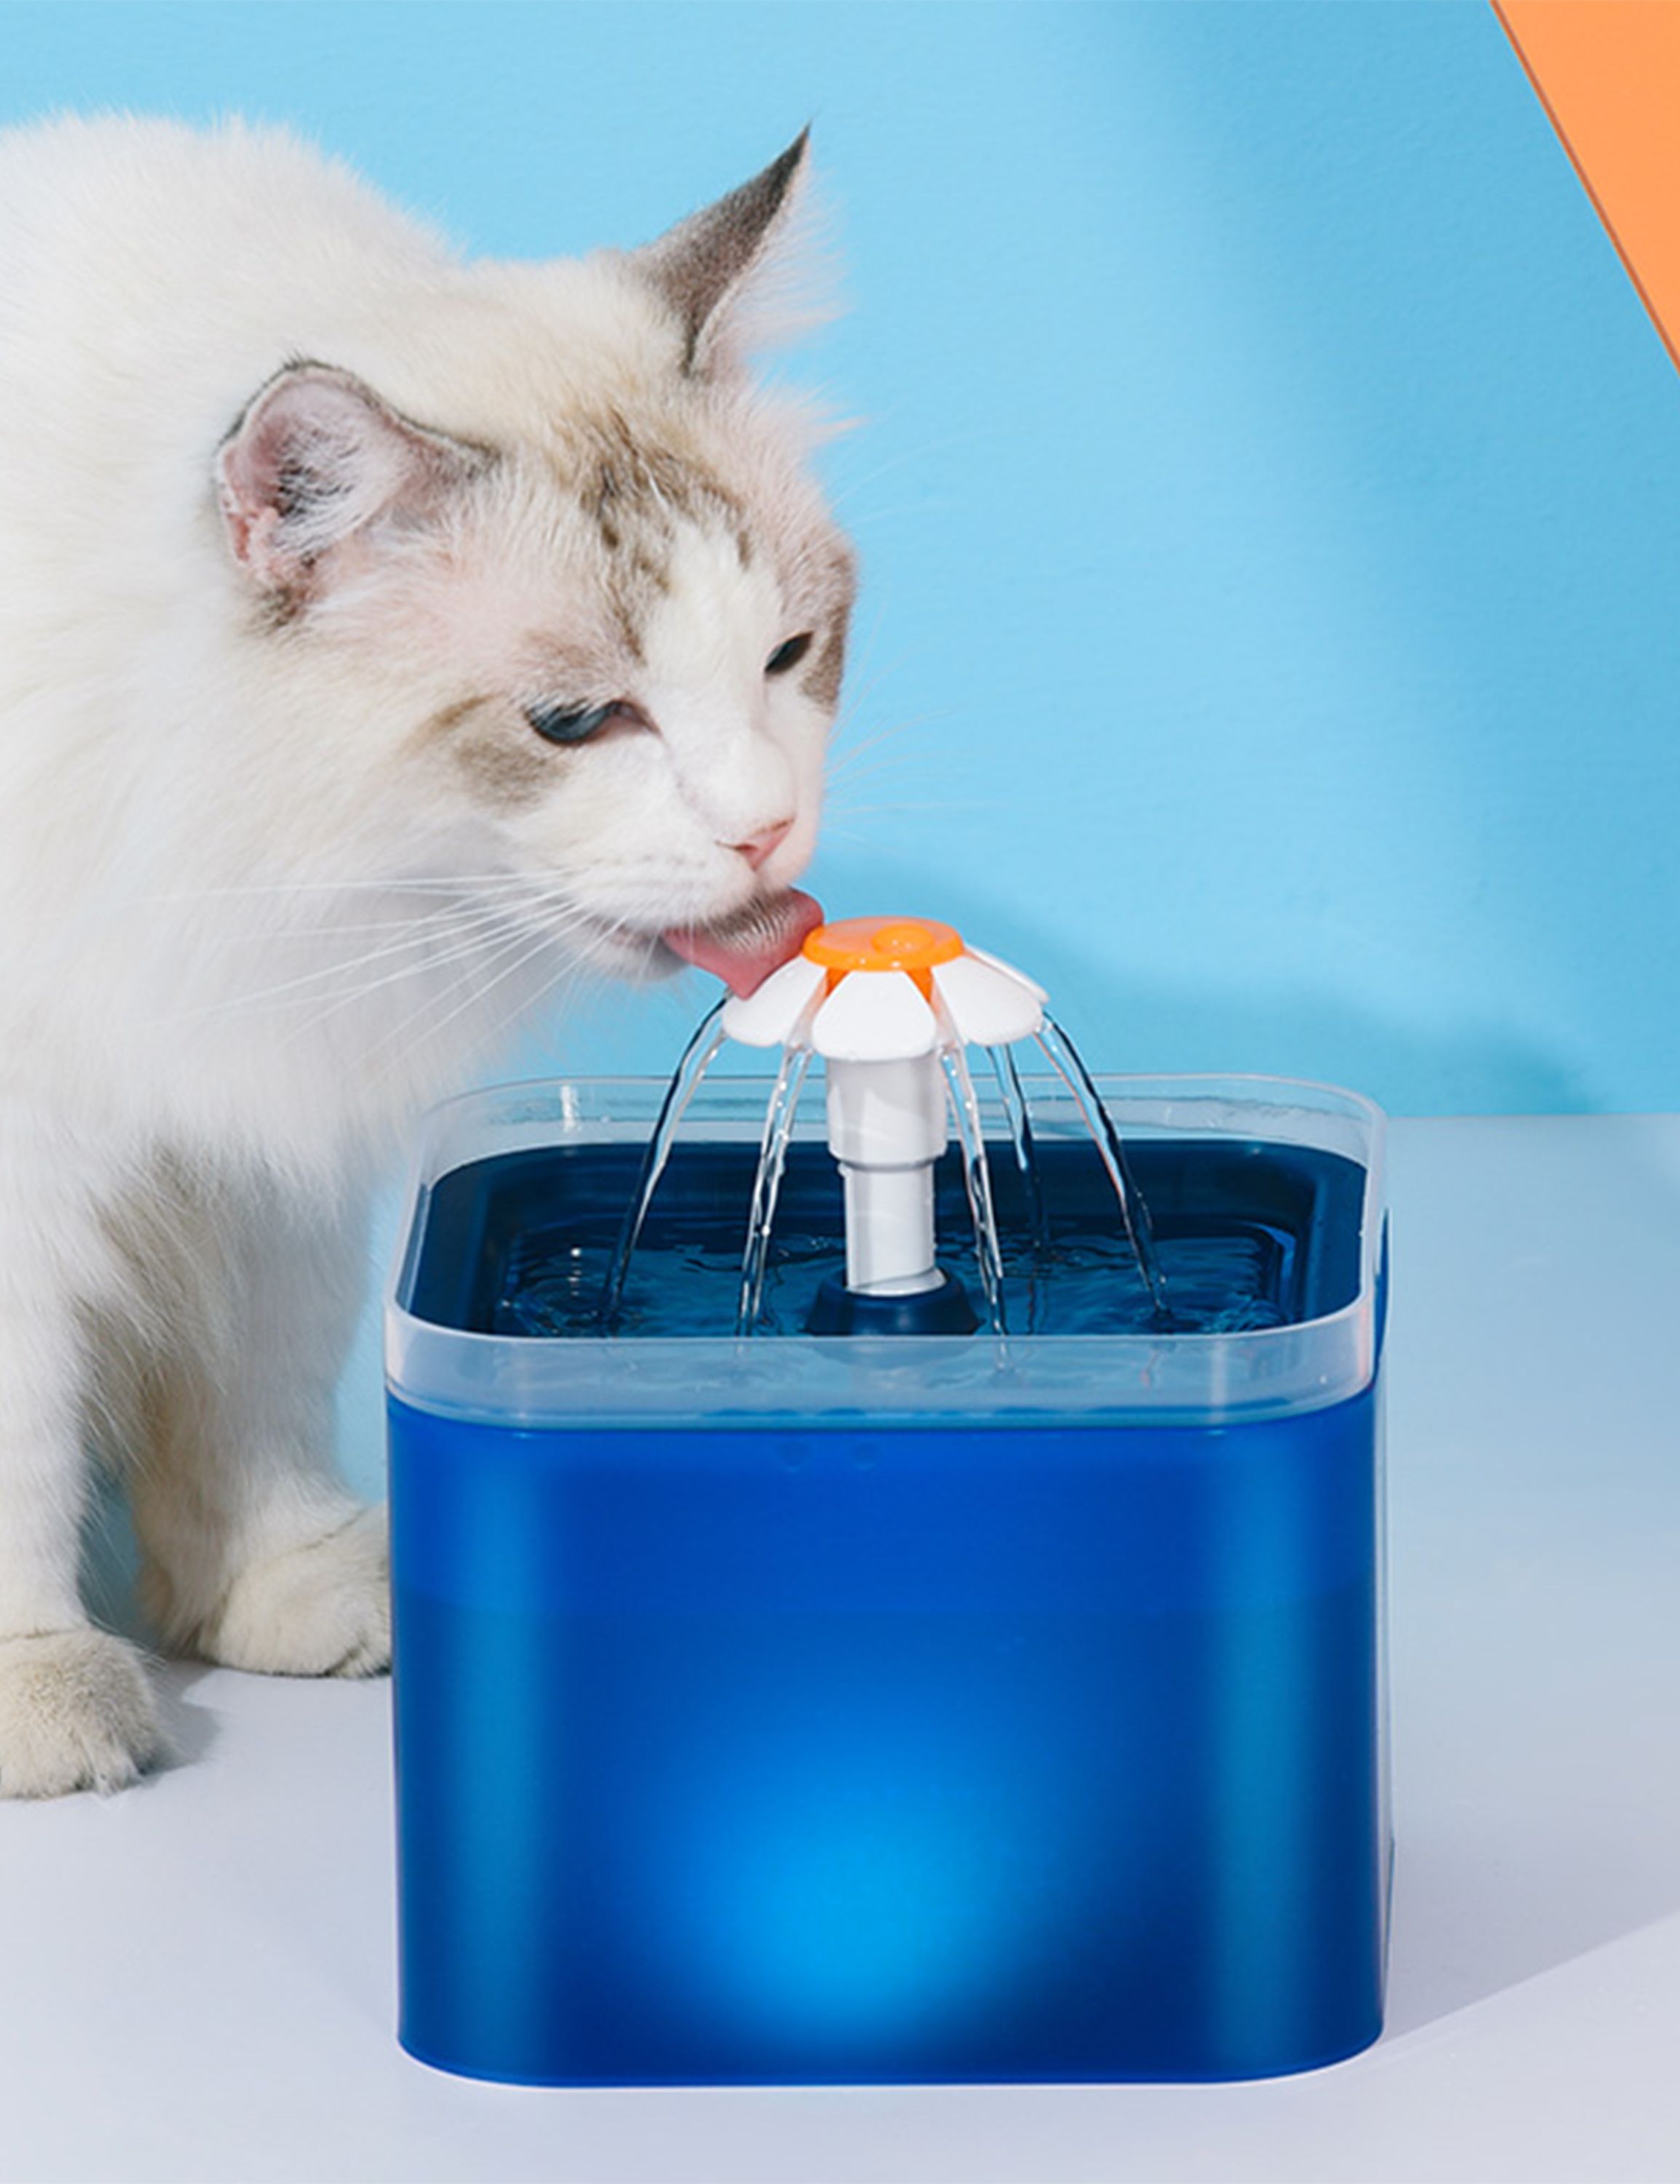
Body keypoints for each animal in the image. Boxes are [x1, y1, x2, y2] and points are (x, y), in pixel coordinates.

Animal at [0, 115, 852, 1796]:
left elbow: (254, 1406)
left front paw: (290, 1596)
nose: (763, 834)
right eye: (575, 723)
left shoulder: (262, 1131)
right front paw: (47, 1697)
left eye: (787, 656)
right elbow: (23, 1464)